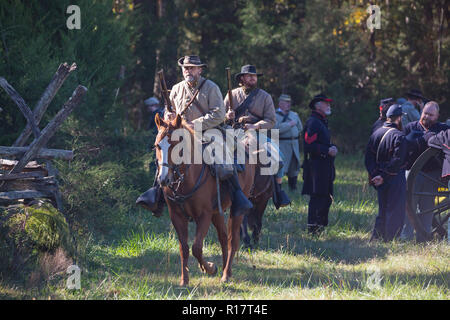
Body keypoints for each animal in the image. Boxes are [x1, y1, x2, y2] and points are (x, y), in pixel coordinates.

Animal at [154, 113, 253, 284]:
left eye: (176, 144)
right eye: (158, 146)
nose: (163, 179)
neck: (186, 180)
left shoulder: (204, 215)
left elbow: (196, 247)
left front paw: (210, 268)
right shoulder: (177, 216)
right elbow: (184, 248)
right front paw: (184, 280)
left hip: (236, 210)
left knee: (232, 240)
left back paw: (226, 274)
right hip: (216, 212)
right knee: (223, 237)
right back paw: (226, 270)